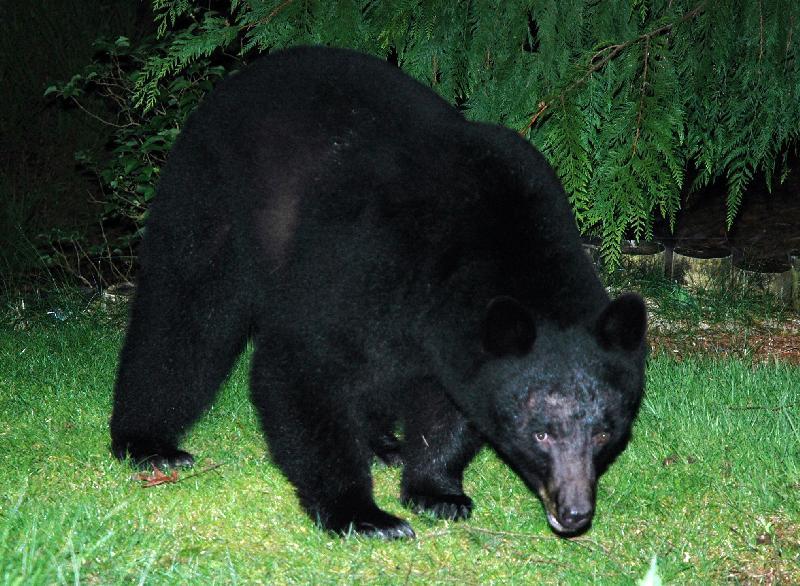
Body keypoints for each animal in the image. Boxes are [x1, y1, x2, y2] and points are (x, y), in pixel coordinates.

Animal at [110, 45, 647, 539]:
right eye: (541, 433)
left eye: (605, 432)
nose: (574, 513)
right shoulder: (366, 260)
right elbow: (299, 365)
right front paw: (362, 514)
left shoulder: (447, 331)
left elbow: (449, 402)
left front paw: (437, 491)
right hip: (211, 199)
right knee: (188, 313)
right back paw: (148, 443)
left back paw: (384, 443)